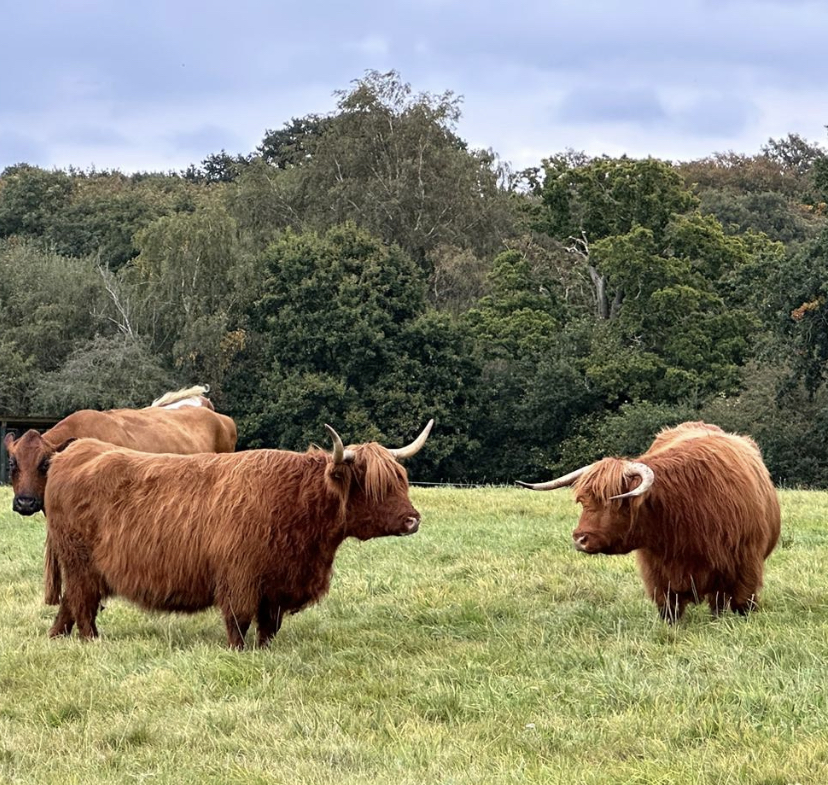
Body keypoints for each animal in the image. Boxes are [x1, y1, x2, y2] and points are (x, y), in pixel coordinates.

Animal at [43, 420, 433, 649]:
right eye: (374, 487)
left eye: (401, 480)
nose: (413, 520)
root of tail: (75, 451)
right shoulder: (239, 577)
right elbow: (239, 621)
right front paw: (238, 650)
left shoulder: (278, 583)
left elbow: (269, 625)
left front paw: (265, 649)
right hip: (80, 564)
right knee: (83, 606)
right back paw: (92, 642)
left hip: (79, 568)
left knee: (70, 604)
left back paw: (57, 639)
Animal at [517, 422, 780, 622]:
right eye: (583, 501)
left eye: (615, 503)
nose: (580, 539)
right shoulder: (657, 573)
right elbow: (669, 609)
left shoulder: (745, 566)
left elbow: (740, 604)